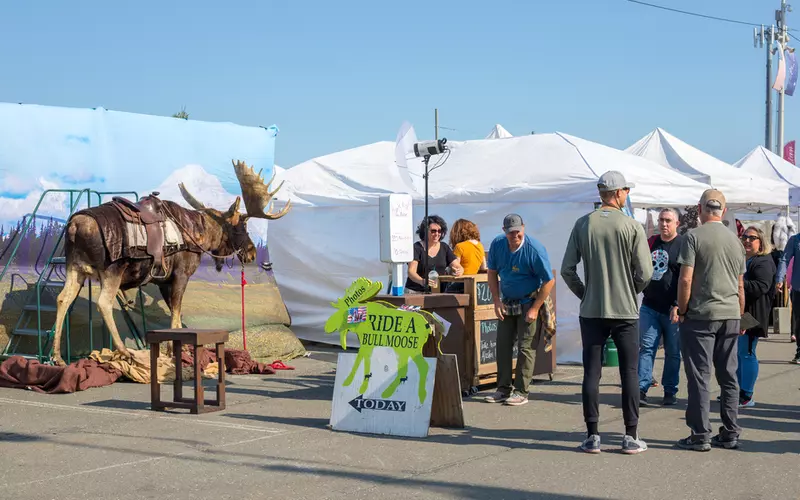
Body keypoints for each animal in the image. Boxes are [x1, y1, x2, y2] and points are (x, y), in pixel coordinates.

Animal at [49, 162, 290, 366]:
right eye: (241, 227)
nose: (251, 252)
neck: (200, 234)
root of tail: (74, 226)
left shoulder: (163, 281)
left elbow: (175, 319)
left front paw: (170, 352)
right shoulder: (181, 276)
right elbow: (176, 316)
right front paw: (176, 355)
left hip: (75, 269)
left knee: (62, 299)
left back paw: (57, 356)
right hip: (112, 270)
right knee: (103, 303)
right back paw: (124, 351)